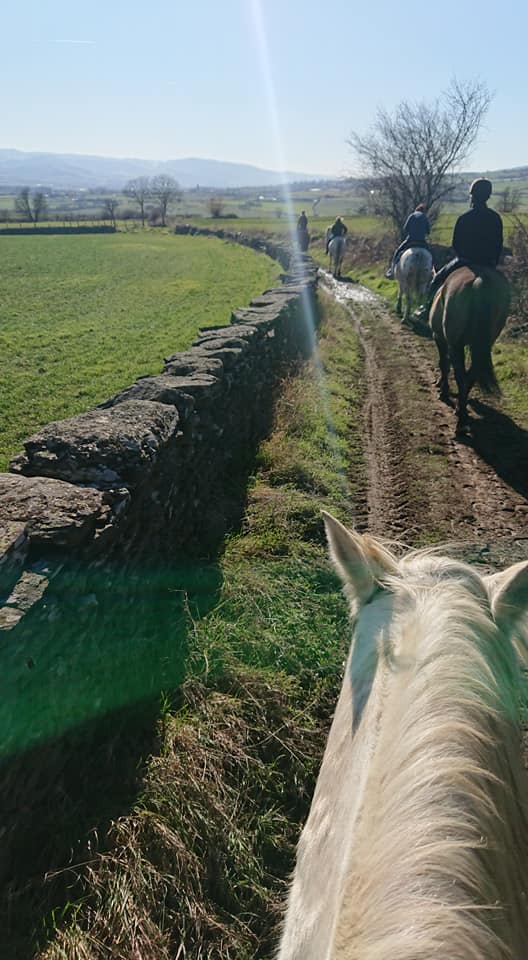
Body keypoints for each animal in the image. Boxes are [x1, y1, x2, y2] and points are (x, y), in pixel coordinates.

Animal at [428, 268, 512, 436]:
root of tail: (480, 279)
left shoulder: (439, 337)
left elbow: (444, 364)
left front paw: (443, 390)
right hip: (482, 345)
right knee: (471, 375)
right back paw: (461, 411)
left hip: (456, 344)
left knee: (461, 377)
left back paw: (460, 422)